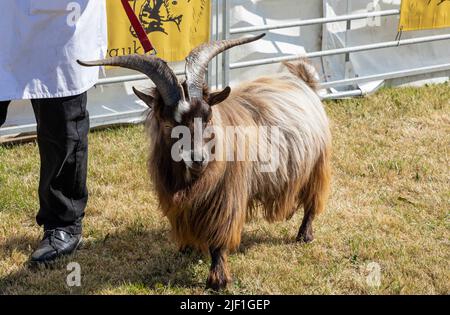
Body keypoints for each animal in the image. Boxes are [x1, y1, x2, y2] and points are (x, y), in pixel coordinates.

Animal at [76, 33, 330, 290]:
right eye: (168, 123)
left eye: (207, 118)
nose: (198, 158)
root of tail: (303, 81)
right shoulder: (181, 203)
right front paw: (187, 248)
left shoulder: (225, 198)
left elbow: (218, 239)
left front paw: (217, 280)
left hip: (317, 165)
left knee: (312, 201)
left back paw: (304, 235)